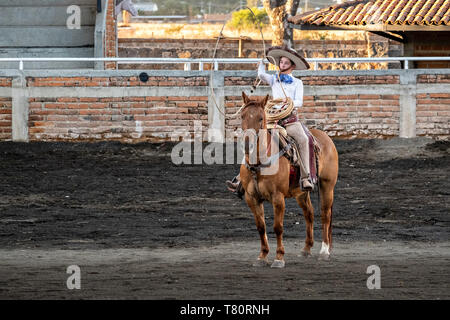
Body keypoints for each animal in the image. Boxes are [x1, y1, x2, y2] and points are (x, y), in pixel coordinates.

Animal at [239, 92, 338, 268]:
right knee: (309, 214)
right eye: (242, 116)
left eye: (260, 118)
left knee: (325, 215)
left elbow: (278, 227)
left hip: (327, 186)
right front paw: (262, 256)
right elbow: (261, 227)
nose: (247, 143)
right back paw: (306, 249)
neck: (259, 163)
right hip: (301, 192)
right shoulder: (252, 198)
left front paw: (279, 258)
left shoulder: (278, 198)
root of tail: (325, 137)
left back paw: (324, 251)